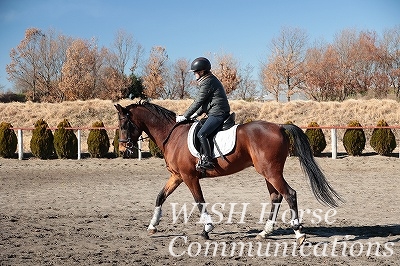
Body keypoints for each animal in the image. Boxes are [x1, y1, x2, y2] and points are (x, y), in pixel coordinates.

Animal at [114, 102, 342, 245]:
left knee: (289, 194)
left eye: (125, 124)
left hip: (270, 171)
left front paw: (207, 229)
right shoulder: (177, 176)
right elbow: (160, 196)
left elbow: (199, 201)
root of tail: (278, 126)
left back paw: (299, 234)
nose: (124, 149)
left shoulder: (189, 177)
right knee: (276, 196)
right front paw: (152, 227)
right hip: (269, 173)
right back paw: (264, 232)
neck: (173, 134)